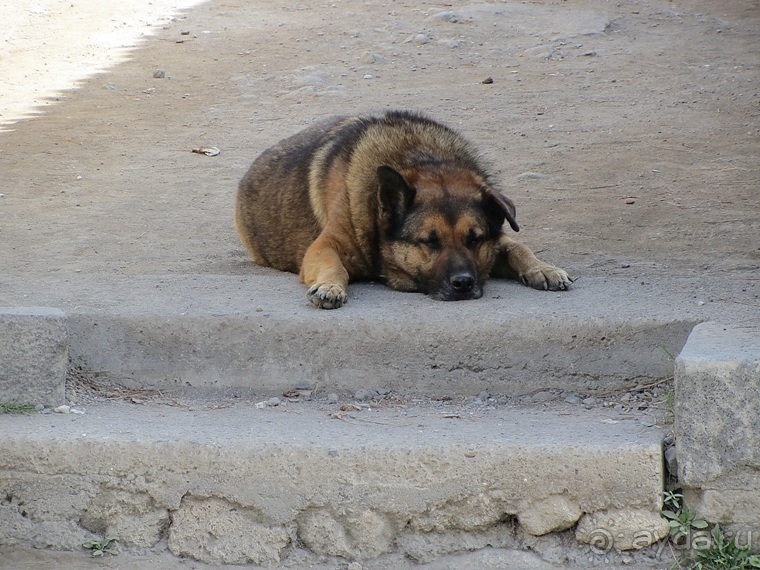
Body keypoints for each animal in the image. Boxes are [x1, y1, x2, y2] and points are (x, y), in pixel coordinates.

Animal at [235, 110, 572, 306]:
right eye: (430, 241)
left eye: (474, 239)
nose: (464, 283)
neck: (423, 158)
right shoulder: (324, 246)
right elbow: (334, 265)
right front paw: (330, 286)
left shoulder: (496, 239)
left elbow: (517, 247)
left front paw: (543, 268)